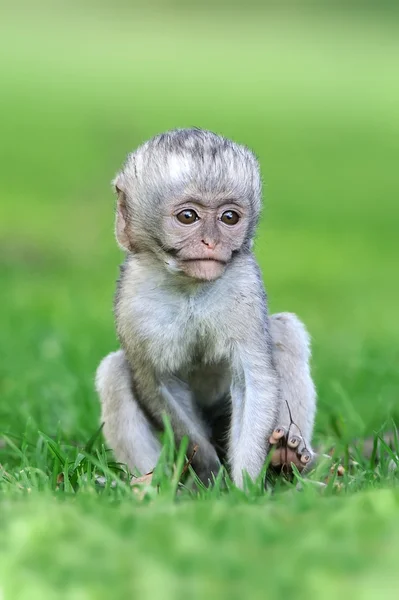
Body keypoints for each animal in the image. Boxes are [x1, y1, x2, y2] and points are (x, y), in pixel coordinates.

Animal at [95, 126, 318, 488]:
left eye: (229, 217)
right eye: (188, 217)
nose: (211, 242)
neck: (189, 287)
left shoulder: (243, 282)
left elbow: (254, 379)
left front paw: (244, 489)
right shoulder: (134, 303)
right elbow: (160, 385)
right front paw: (209, 473)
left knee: (285, 332)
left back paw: (289, 458)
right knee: (113, 371)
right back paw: (150, 484)